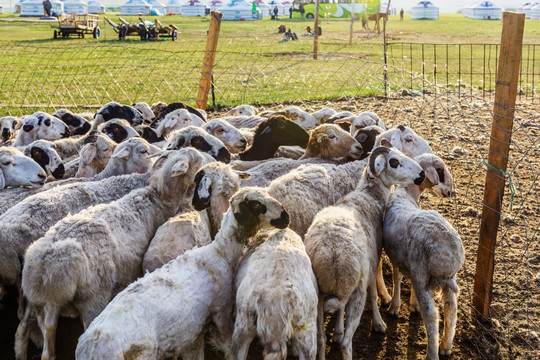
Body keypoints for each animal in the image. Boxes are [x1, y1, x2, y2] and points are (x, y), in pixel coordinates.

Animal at [16, 147, 211, 360]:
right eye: (196, 161)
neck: (159, 199)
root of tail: (44, 268)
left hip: (44, 305)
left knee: (41, 341)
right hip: (93, 297)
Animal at [74, 187, 288, 360]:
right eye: (257, 205)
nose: (286, 216)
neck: (219, 254)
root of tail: (91, 347)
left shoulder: (194, 333)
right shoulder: (222, 311)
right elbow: (228, 345)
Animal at [304, 146, 426, 360]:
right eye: (394, 162)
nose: (421, 174)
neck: (367, 195)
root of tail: (332, 258)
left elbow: (340, 310)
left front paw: (337, 331)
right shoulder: (373, 261)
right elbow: (374, 292)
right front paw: (379, 323)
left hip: (318, 298)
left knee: (320, 339)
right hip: (356, 292)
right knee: (347, 343)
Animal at [382, 153, 462, 360]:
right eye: (440, 170)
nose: (450, 191)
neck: (406, 194)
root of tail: (450, 259)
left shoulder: (399, 260)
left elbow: (397, 278)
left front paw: (395, 307)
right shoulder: (403, 260)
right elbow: (401, 278)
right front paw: (411, 304)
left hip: (422, 276)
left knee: (432, 316)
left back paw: (432, 353)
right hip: (446, 282)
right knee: (451, 309)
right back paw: (446, 346)